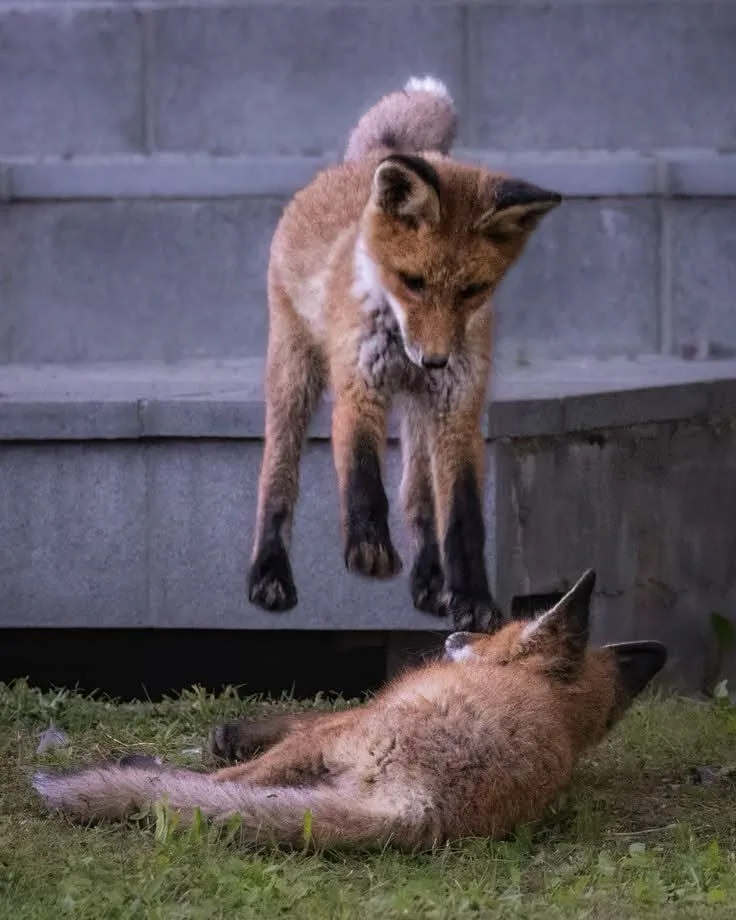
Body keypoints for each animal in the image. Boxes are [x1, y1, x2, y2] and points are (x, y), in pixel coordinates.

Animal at [33, 570, 667, 851]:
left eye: (501, 628)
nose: (458, 628)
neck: (553, 704)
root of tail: (423, 807)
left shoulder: (344, 722)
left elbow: (295, 720)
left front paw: (231, 732)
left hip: (328, 750)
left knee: (222, 783)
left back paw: (139, 770)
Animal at [248, 76, 563, 631]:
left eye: (472, 291)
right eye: (412, 281)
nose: (434, 360)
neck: (397, 339)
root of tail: (367, 159)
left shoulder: (458, 405)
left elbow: (461, 515)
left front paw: (473, 600)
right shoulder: (359, 383)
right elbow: (361, 471)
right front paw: (369, 548)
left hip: (420, 413)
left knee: (418, 500)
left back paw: (432, 581)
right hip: (294, 375)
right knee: (276, 479)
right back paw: (268, 571)